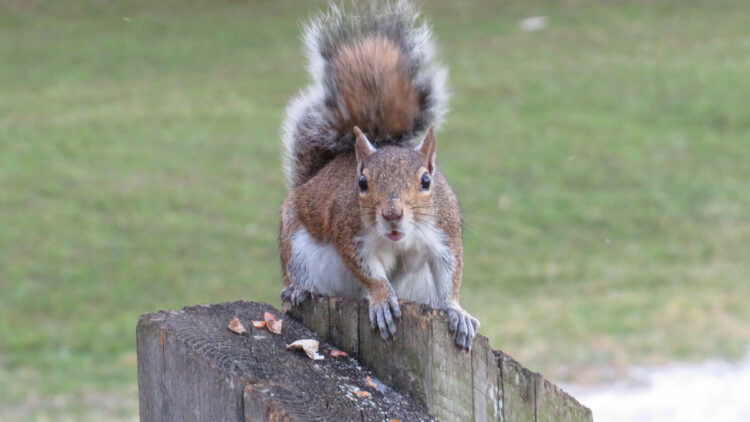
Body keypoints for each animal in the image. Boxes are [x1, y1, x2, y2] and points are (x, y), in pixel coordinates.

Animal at [279, 1, 479, 350]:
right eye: (362, 183)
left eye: (427, 181)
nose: (392, 214)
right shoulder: (348, 231)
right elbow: (369, 273)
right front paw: (383, 299)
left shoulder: (445, 231)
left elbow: (450, 271)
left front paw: (456, 311)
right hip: (296, 246)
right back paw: (300, 288)